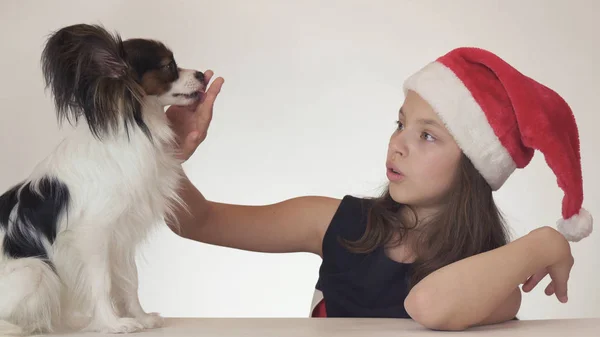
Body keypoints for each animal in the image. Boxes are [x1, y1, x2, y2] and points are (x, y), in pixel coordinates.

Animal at [0, 23, 204, 334]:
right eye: (169, 66)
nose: (202, 74)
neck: (139, 126)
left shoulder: (122, 235)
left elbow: (130, 280)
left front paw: (142, 318)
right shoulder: (93, 235)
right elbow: (102, 283)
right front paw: (113, 323)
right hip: (34, 271)